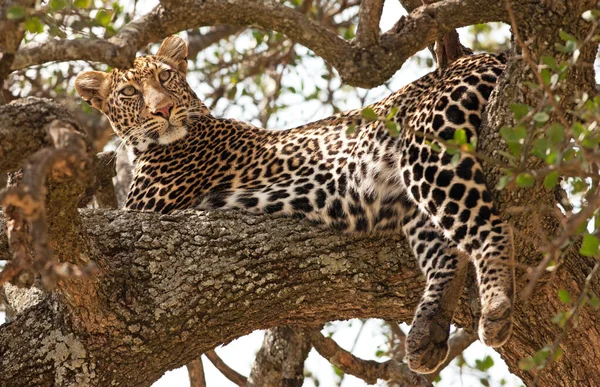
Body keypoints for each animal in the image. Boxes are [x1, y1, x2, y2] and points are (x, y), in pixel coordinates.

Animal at [76, 36, 516, 376]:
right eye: (129, 93)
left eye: (165, 76)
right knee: (448, 248)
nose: (163, 110)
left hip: (426, 141)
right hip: (409, 192)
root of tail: (487, 55)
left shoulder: (143, 211)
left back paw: (496, 305)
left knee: (490, 230)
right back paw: (429, 330)